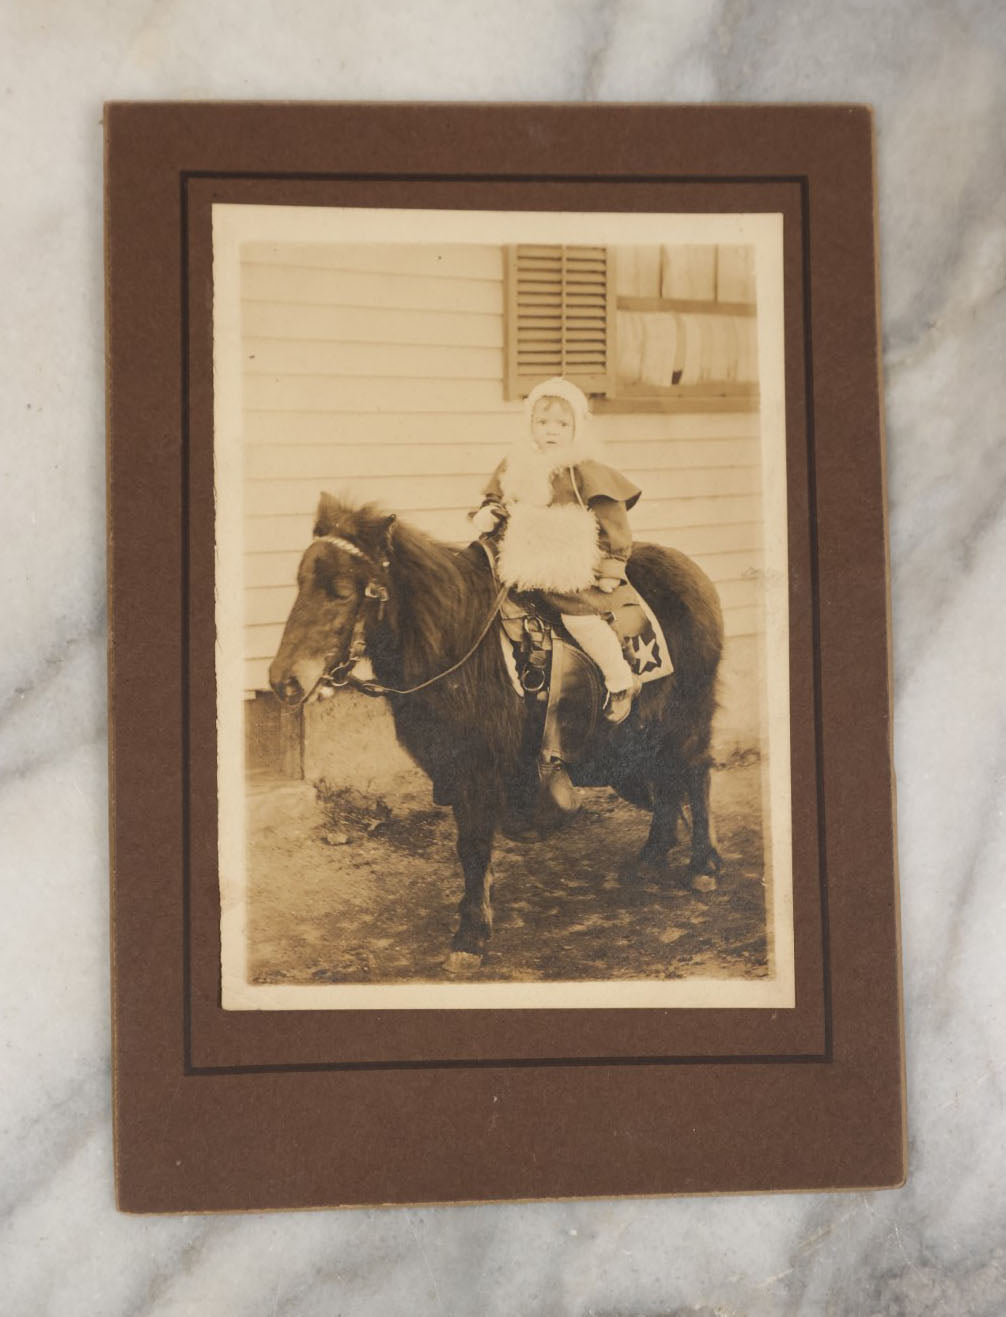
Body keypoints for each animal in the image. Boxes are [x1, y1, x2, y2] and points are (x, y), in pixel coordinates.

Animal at [267, 495, 721, 958]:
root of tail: (692, 571)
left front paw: (471, 932)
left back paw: (702, 866)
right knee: (667, 784)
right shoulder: (453, 767)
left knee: (695, 775)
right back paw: (651, 856)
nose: (283, 680)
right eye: (300, 584)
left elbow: (473, 844)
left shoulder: (477, 770)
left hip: (689, 718)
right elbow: (470, 846)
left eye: (341, 593)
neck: (457, 643)